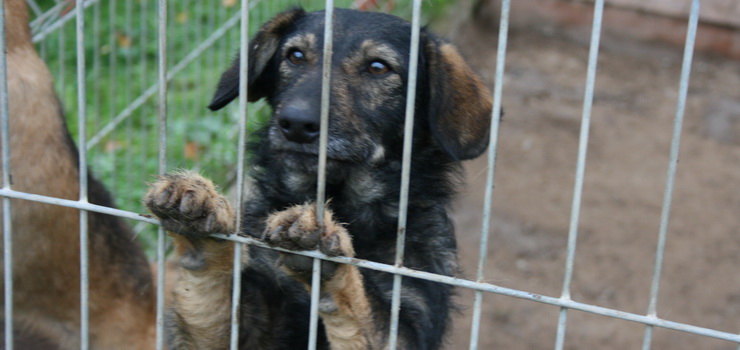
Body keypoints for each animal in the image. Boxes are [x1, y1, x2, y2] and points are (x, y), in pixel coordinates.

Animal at [144, 8, 492, 350]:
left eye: (378, 67)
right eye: (295, 56)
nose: (295, 124)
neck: (344, 204)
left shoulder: (407, 327)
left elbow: (363, 306)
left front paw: (322, 246)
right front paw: (197, 213)